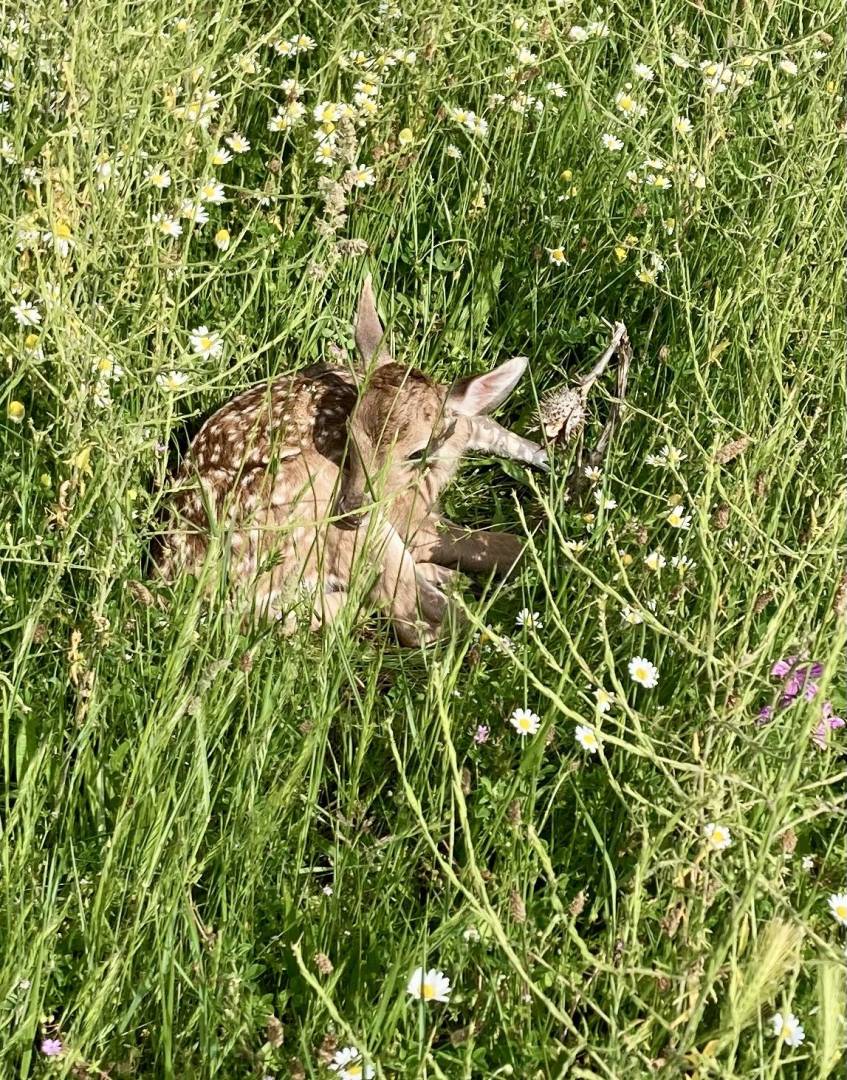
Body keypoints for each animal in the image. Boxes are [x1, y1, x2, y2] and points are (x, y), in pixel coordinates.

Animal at [156, 276, 548, 645]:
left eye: (416, 452)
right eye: (349, 432)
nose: (352, 510)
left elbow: (487, 426)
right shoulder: (406, 518)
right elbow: (489, 541)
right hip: (321, 511)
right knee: (420, 617)